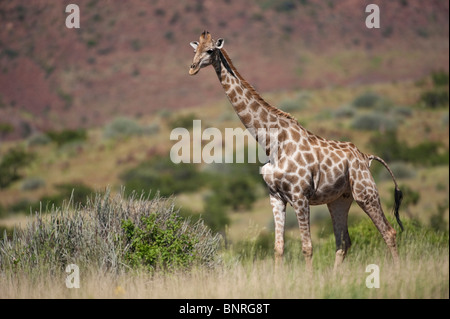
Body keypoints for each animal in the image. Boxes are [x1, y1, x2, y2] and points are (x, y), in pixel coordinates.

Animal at [188, 30, 402, 270]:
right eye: (195, 49)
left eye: (210, 50)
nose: (192, 68)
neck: (272, 143)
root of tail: (366, 157)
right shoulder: (275, 196)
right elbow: (278, 248)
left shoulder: (300, 196)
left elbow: (307, 247)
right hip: (340, 199)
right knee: (343, 242)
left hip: (365, 192)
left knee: (389, 232)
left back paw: (398, 272)